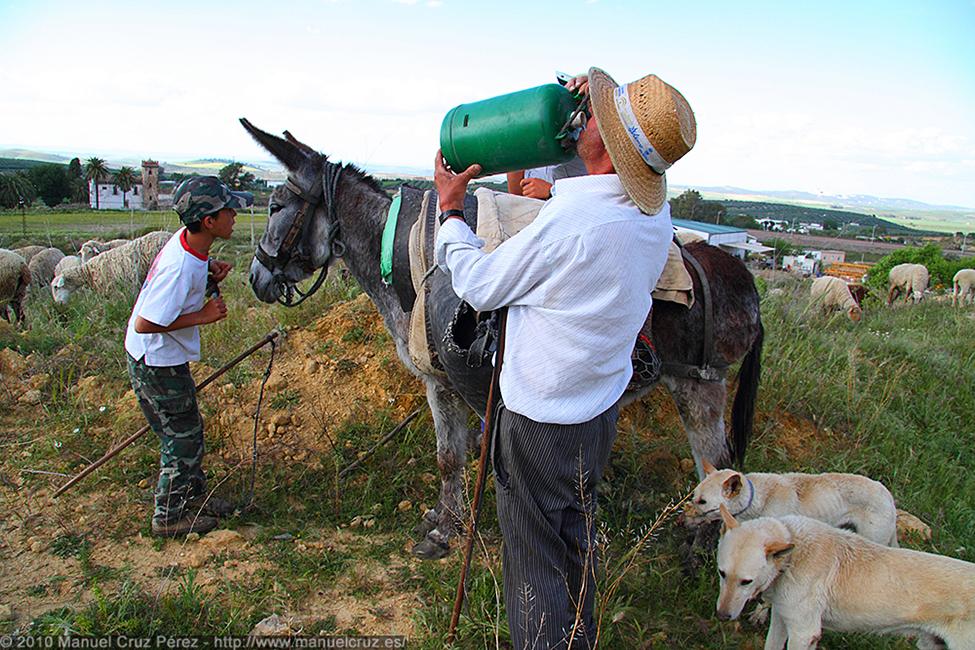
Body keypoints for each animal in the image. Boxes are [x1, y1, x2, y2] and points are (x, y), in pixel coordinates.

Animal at [712, 506, 975, 648]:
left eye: (746, 581)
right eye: (722, 573)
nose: (722, 616)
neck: (792, 558)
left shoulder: (804, 633)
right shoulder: (782, 619)